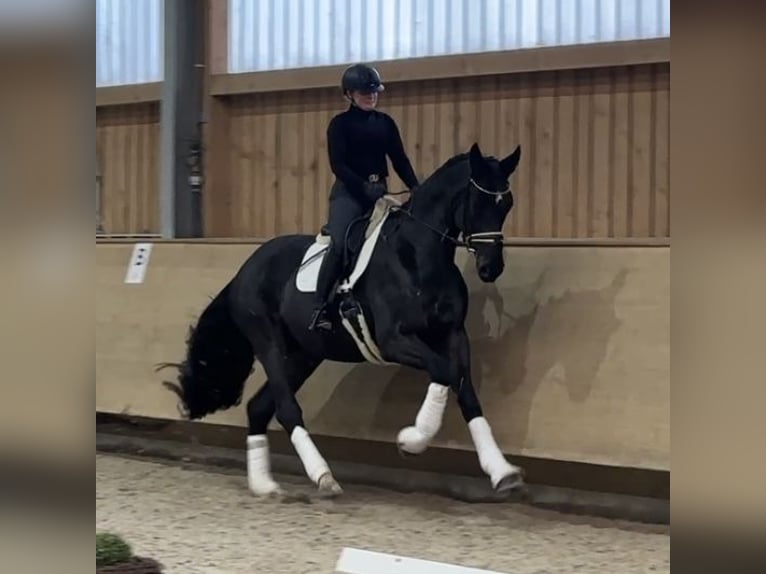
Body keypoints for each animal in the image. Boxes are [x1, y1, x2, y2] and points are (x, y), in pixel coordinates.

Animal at [161, 141, 524, 499]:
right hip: (269, 344)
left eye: (506, 203)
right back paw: (323, 477)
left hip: (304, 355)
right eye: (478, 201)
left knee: (259, 407)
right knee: (286, 408)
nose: (491, 268)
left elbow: (466, 391)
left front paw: (502, 472)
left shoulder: (454, 334)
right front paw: (413, 439)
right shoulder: (394, 340)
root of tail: (244, 270)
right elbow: (444, 371)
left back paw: (265, 485)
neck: (417, 257)